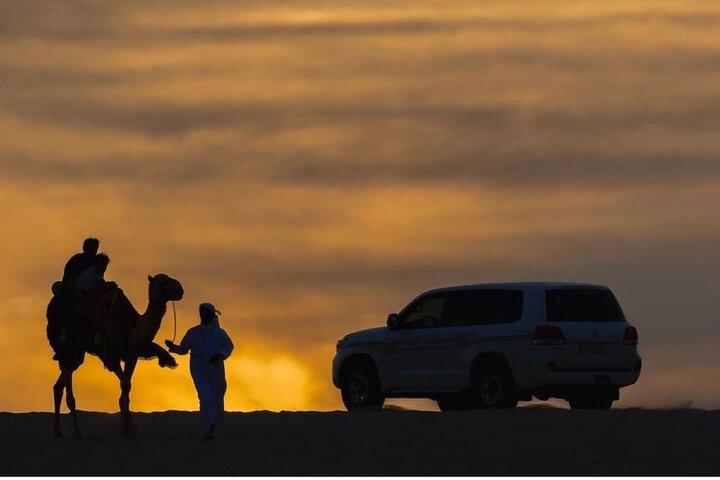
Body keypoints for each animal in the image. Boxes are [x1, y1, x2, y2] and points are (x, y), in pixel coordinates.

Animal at [47, 273, 184, 438]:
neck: (132, 328)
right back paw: (77, 432)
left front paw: (128, 429)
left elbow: (126, 389)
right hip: (70, 347)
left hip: (76, 353)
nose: (179, 289)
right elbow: (125, 385)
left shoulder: (132, 356)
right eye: (162, 281)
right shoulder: (111, 356)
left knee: (58, 385)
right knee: (68, 386)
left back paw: (57, 431)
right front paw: (127, 429)